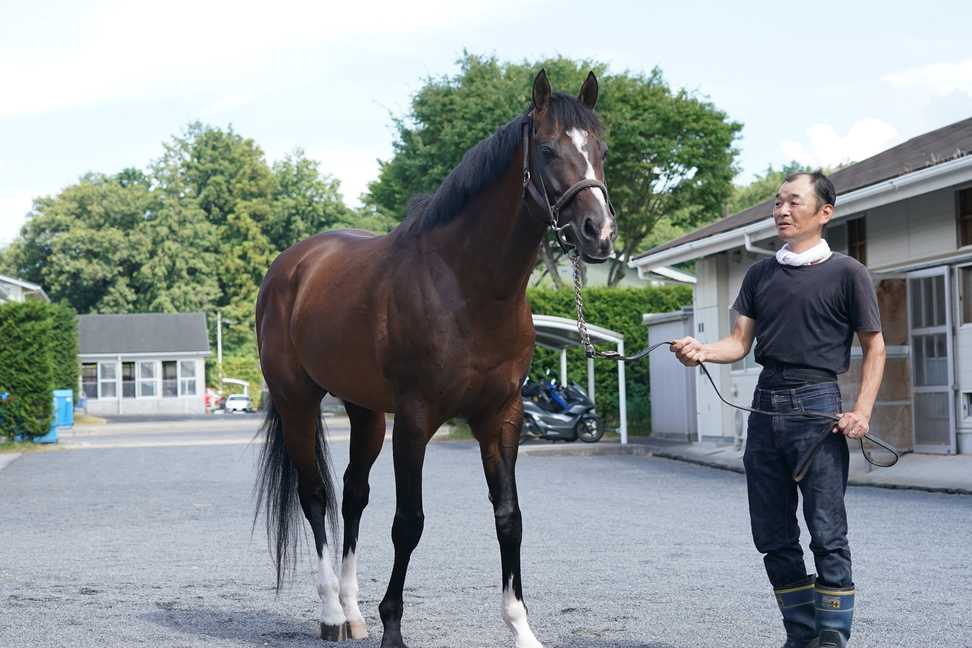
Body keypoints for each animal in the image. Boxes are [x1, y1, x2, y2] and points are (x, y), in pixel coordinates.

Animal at [251, 71, 616, 648]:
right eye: (548, 149)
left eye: (600, 149)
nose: (597, 234)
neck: (466, 286)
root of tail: (292, 266)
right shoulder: (417, 419)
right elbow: (409, 522)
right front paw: (393, 628)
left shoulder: (502, 416)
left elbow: (509, 516)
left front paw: (521, 627)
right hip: (297, 401)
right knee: (314, 497)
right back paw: (331, 613)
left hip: (365, 412)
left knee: (352, 495)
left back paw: (352, 613)